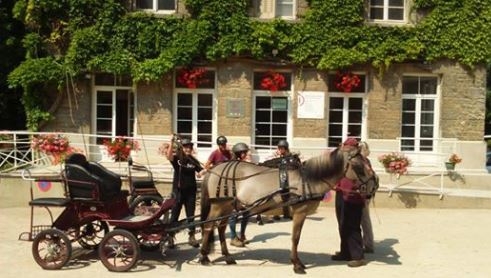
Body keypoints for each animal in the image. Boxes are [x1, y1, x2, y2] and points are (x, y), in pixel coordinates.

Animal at [198, 146, 378, 274]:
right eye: (358, 166)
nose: (374, 183)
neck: (307, 180)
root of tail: (214, 169)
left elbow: (296, 238)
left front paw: (298, 263)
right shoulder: (299, 212)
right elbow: (295, 238)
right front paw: (297, 265)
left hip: (228, 206)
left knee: (221, 228)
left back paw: (227, 257)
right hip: (218, 206)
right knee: (208, 226)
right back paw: (204, 257)